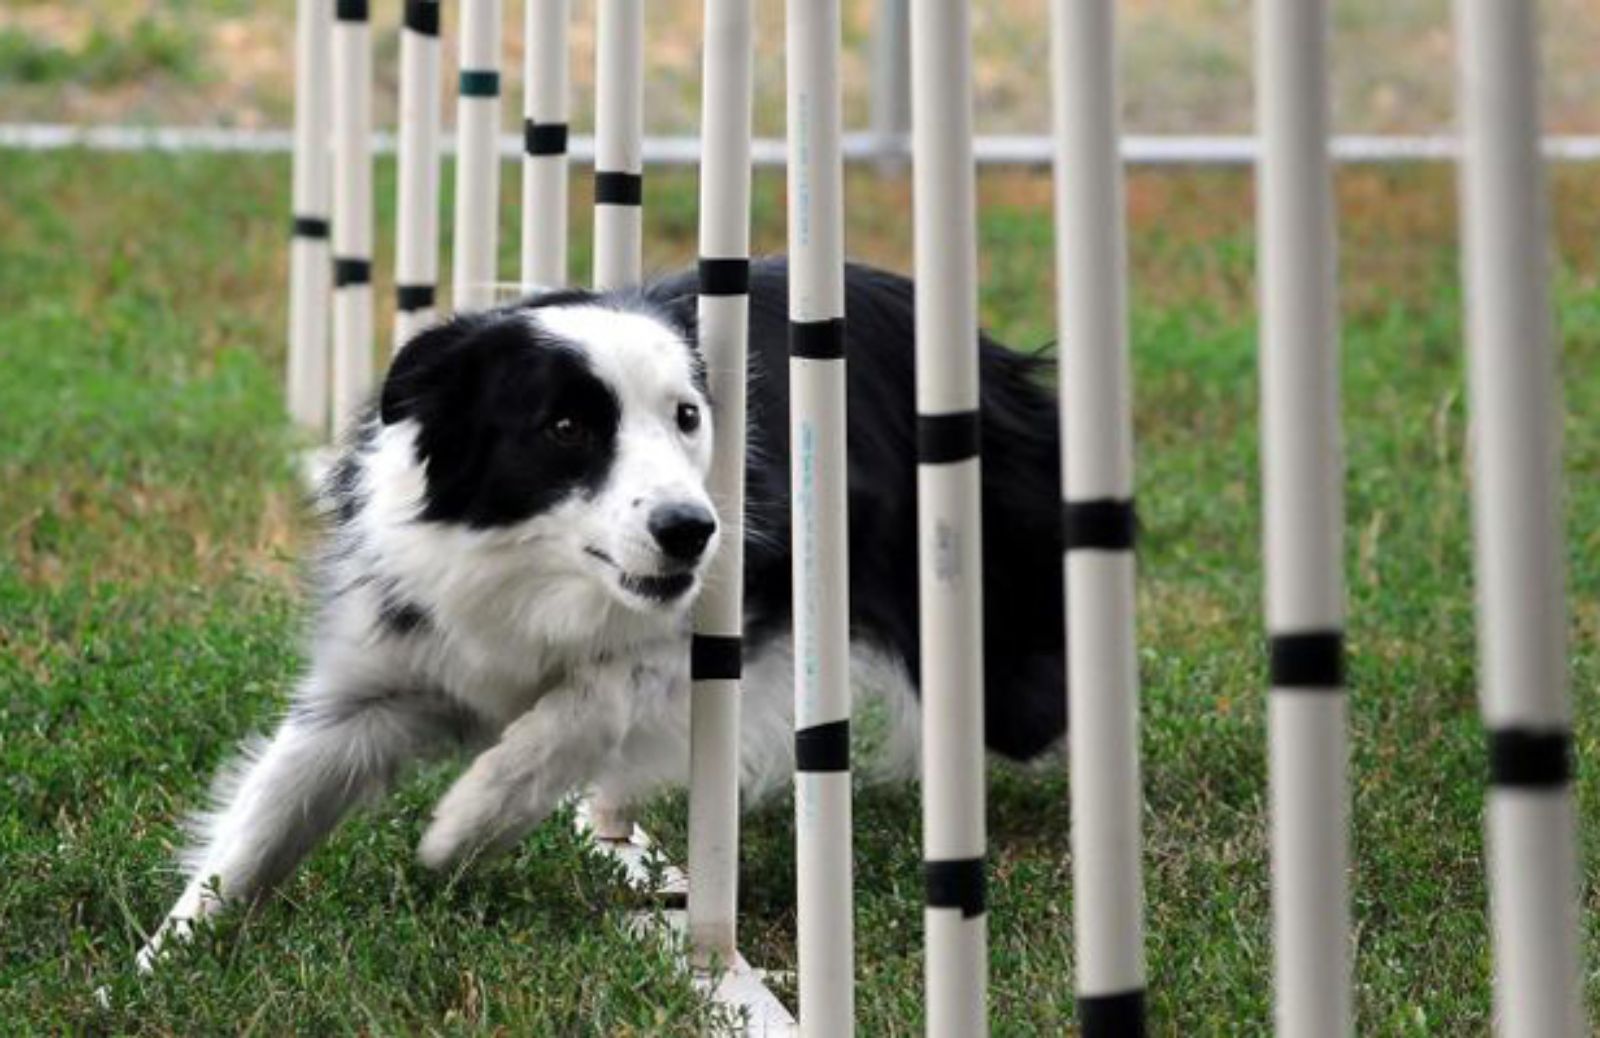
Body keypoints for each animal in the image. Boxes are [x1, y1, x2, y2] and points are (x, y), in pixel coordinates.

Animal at [140, 257, 1062, 966]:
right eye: (564, 427)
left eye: (688, 416)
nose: (690, 530)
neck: (533, 570)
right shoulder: (379, 673)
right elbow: (265, 816)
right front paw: (162, 962)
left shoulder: (736, 609)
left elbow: (592, 698)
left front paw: (465, 826)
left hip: (998, 642)